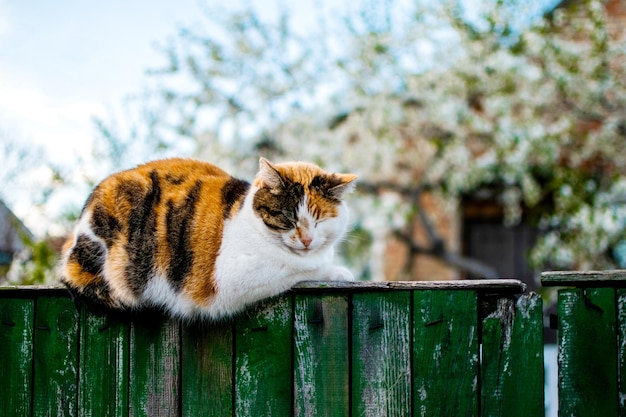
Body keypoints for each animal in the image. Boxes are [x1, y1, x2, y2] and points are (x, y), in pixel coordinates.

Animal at [62, 156, 356, 318]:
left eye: (319, 219)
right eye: (287, 217)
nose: (306, 240)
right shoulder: (232, 276)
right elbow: (304, 267)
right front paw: (338, 271)